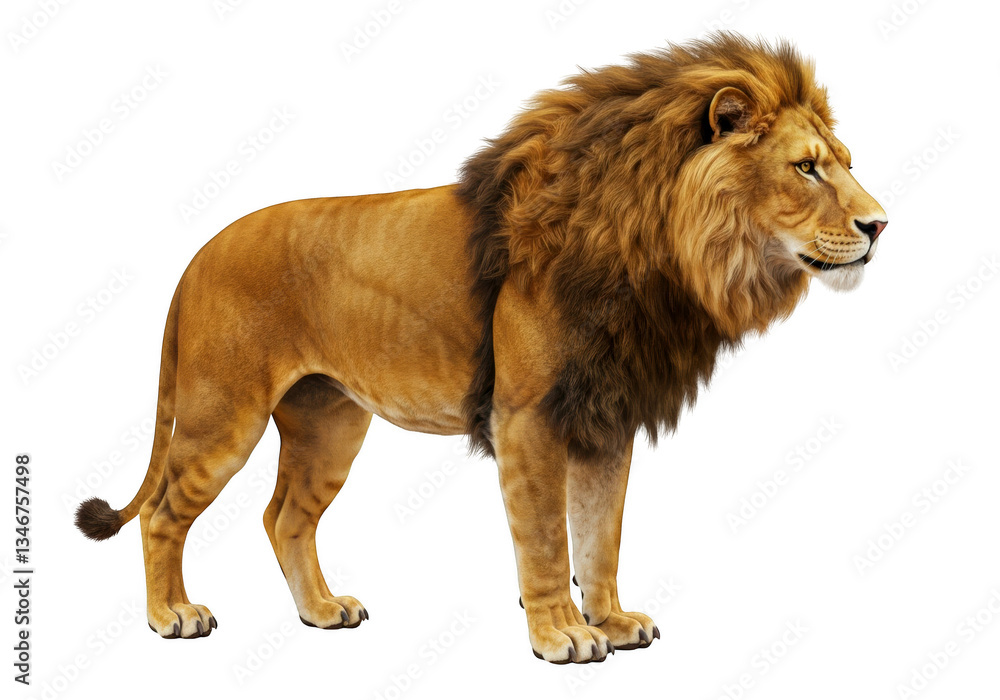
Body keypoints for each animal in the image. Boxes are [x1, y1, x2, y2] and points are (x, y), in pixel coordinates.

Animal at [76, 33, 886, 663]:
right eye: (807, 166)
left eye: (844, 160)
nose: (880, 223)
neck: (659, 253)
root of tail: (198, 256)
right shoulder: (526, 415)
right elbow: (548, 539)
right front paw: (563, 634)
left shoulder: (606, 418)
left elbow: (601, 532)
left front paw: (612, 619)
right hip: (224, 415)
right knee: (162, 514)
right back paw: (172, 616)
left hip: (329, 422)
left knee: (286, 517)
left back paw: (323, 611)